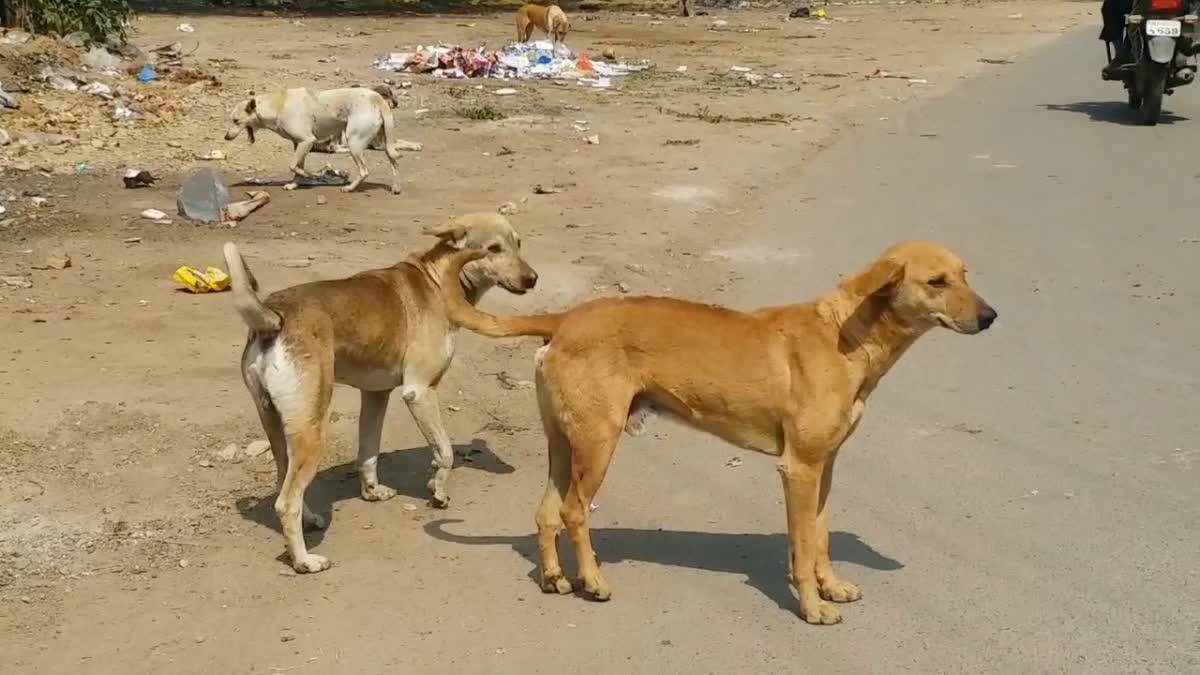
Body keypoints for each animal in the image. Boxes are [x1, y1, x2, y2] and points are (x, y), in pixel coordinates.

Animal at [222, 212, 540, 569]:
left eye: (518, 243)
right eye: (493, 249)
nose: (532, 279)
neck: (437, 281)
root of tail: (275, 317)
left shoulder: (375, 395)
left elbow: (368, 453)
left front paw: (373, 492)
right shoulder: (420, 391)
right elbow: (445, 452)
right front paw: (438, 491)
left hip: (277, 426)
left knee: (283, 481)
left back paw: (309, 519)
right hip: (311, 429)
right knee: (285, 501)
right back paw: (304, 560)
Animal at [226, 85, 405, 192]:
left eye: (236, 121)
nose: (226, 137)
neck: (278, 105)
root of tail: (376, 98)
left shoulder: (307, 141)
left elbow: (293, 166)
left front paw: (310, 175)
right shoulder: (299, 144)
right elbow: (297, 166)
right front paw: (294, 184)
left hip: (354, 142)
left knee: (364, 171)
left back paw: (349, 188)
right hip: (385, 142)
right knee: (394, 163)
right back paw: (396, 188)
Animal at [436, 241, 998, 624]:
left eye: (965, 275)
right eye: (937, 282)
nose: (992, 316)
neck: (847, 335)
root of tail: (565, 318)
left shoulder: (825, 467)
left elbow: (820, 537)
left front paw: (831, 586)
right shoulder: (798, 469)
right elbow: (801, 544)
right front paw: (812, 606)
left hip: (564, 443)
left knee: (546, 511)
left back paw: (555, 577)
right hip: (598, 444)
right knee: (574, 511)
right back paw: (592, 581)